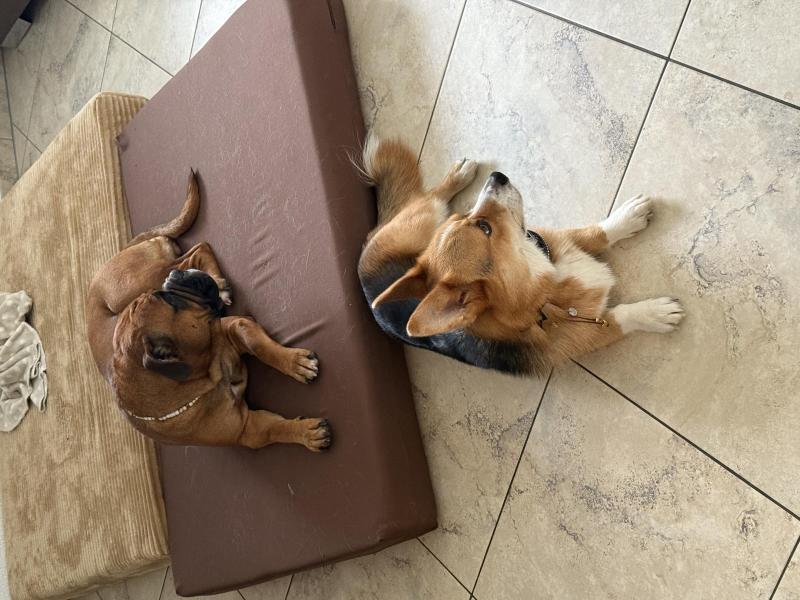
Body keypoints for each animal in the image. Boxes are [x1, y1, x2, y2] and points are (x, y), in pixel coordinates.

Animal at [87, 172, 332, 450]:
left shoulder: (234, 328)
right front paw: (307, 433)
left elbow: (261, 346)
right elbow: (275, 429)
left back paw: (218, 282)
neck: (204, 375)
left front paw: (295, 362)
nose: (175, 278)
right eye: (172, 302)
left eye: (162, 296)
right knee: (196, 252)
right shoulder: (249, 429)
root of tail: (120, 252)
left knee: (199, 249)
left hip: (145, 277)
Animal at [357, 138, 684, 376]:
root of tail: (366, 246)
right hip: (424, 217)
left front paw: (627, 218)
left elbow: (596, 232)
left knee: (434, 196)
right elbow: (621, 317)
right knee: (428, 198)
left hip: (430, 221)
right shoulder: (589, 332)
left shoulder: (553, 239)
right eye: (484, 227)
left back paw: (460, 174)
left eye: (467, 216)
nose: (497, 176)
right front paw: (656, 312)